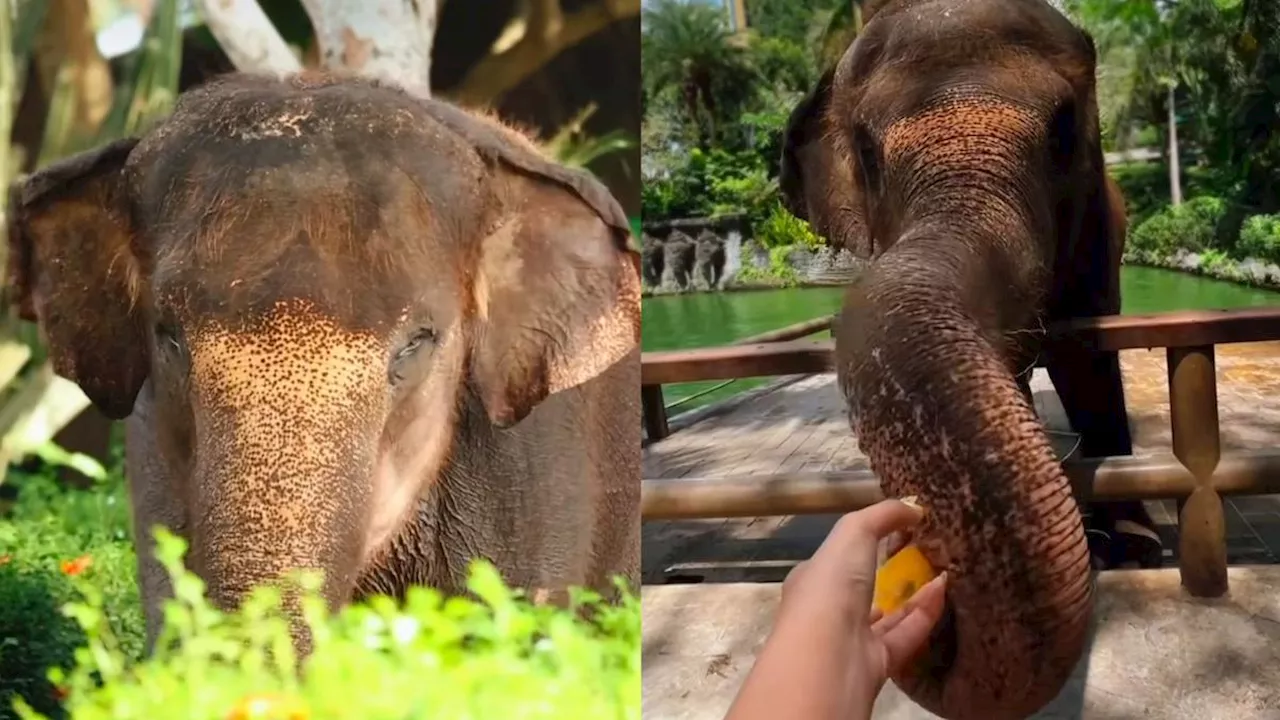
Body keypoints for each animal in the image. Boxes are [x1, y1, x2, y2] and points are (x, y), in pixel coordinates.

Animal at [773, 1, 1157, 717]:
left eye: (1064, 129)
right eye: (865, 150)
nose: (914, 540)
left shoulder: (1098, 235)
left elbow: (1088, 362)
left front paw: (1134, 551)